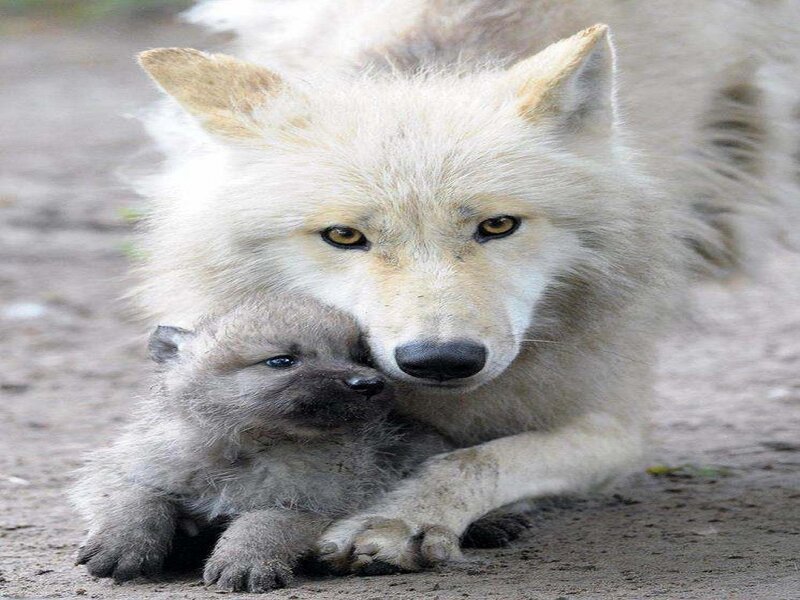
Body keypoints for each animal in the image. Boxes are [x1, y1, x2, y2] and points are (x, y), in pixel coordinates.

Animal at [70, 296, 450, 591]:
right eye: (282, 361)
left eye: (362, 358)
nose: (369, 383)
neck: (245, 447)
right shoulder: (125, 466)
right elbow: (137, 497)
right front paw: (121, 544)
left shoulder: (312, 501)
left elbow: (265, 520)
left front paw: (244, 560)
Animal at [131, 0, 800, 572]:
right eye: (344, 236)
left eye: (498, 225)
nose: (442, 360)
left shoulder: (614, 423)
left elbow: (478, 460)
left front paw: (398, 518)